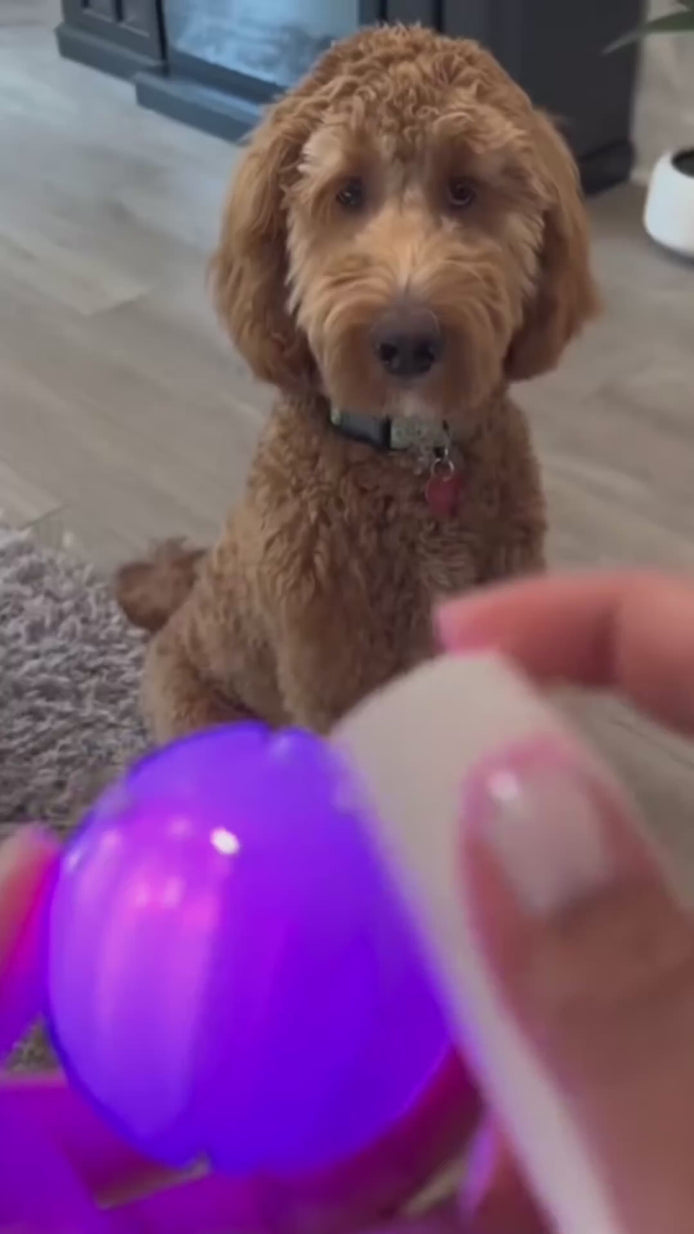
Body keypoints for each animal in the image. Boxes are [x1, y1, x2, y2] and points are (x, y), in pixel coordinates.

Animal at [117, 24, 598, 742]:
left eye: (463, 190)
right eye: (347, 192)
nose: (407, 342)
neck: (417, 456)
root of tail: (178, 610)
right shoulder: (337, 684)